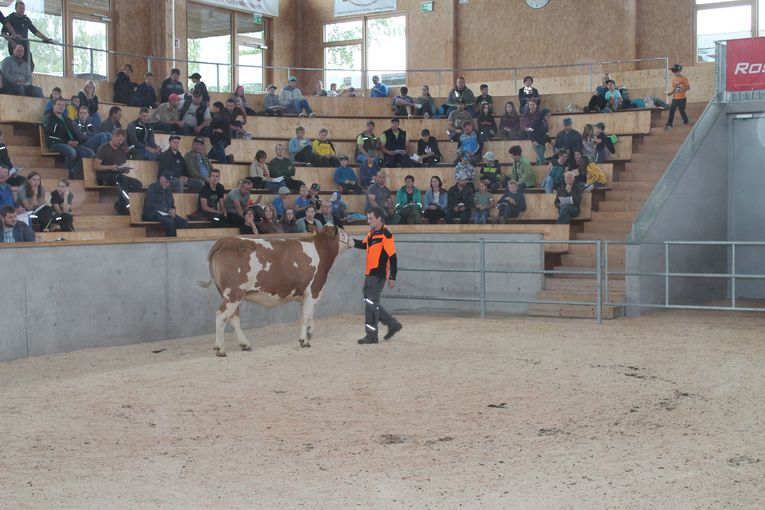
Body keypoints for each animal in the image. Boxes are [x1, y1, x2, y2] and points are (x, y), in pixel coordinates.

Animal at [197, 225, 352, 356]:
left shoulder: (304, 295)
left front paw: (308, 335)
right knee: (221, 315)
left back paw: (245, 344)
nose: (353, 241)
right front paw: (304, 341)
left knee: (233, 318)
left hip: (230, 295)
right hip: (233, 293)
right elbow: (306, 317)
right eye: (343, 233)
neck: (320, 250)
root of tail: (226, 240)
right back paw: (220, 349)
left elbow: (307, 317)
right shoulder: (314, 290)